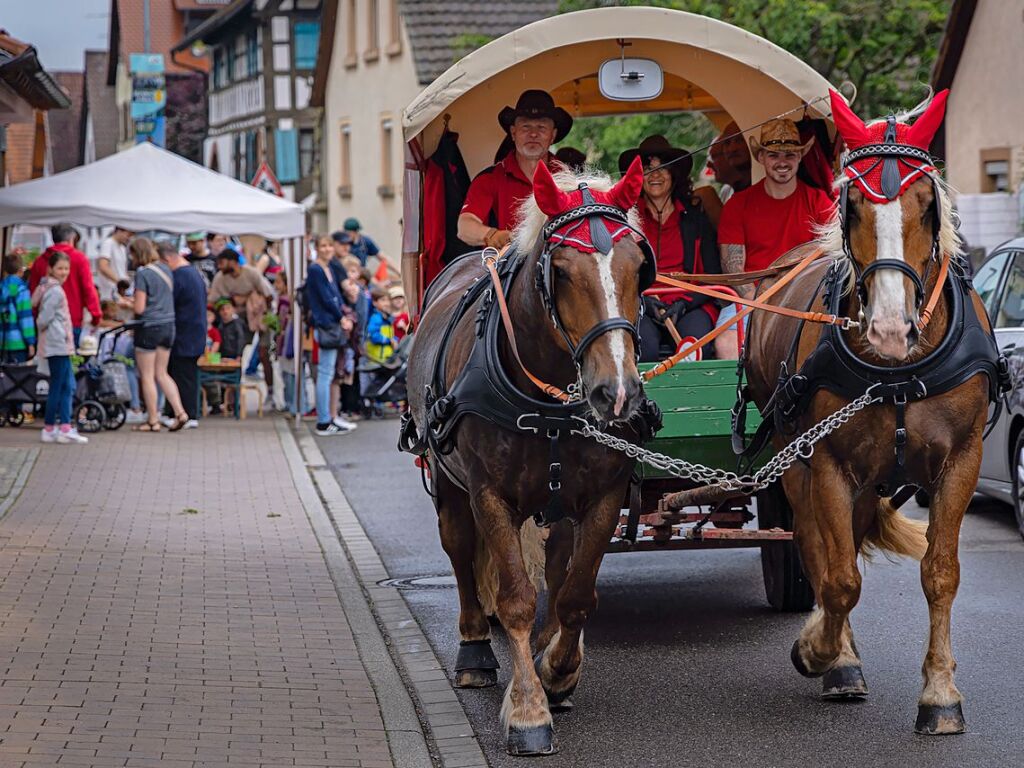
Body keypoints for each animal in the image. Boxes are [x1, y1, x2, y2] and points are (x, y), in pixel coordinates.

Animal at [745, 93, 1007, 737]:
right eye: (854, 203)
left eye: (927, 205)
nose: (890, 330)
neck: (899, 369)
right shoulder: (829, 463)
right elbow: (840, 578)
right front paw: (820, 650)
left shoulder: (961, 463)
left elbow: (941, 573)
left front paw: (940, 694)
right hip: (795, 455)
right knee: (816, 546)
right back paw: (837, 655)